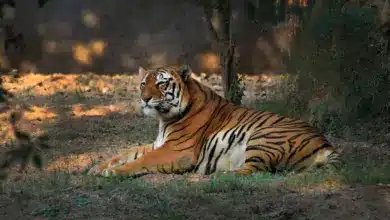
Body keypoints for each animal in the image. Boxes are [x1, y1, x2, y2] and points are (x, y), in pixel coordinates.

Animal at [88, 64, 342, 177]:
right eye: (143, 84)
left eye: (161, 83)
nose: (145, 98)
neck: (163, 119)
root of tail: (326, 144)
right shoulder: (158, 144)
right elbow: (124, 153)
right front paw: (95, 167)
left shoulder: (176, 150)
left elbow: (140, 161)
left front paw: (111, 172)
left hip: (265, 137)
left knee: (254, 170)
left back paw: (215, 176)